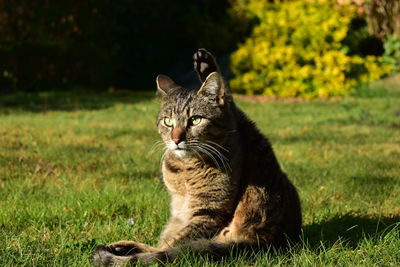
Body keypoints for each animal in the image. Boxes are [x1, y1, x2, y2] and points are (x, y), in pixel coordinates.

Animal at [93, 49, 300, 266]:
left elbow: (173, 246)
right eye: (168, 121)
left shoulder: (210, 211)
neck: (184, 167)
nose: (176, 139)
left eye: (195, 120)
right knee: (232, 105)